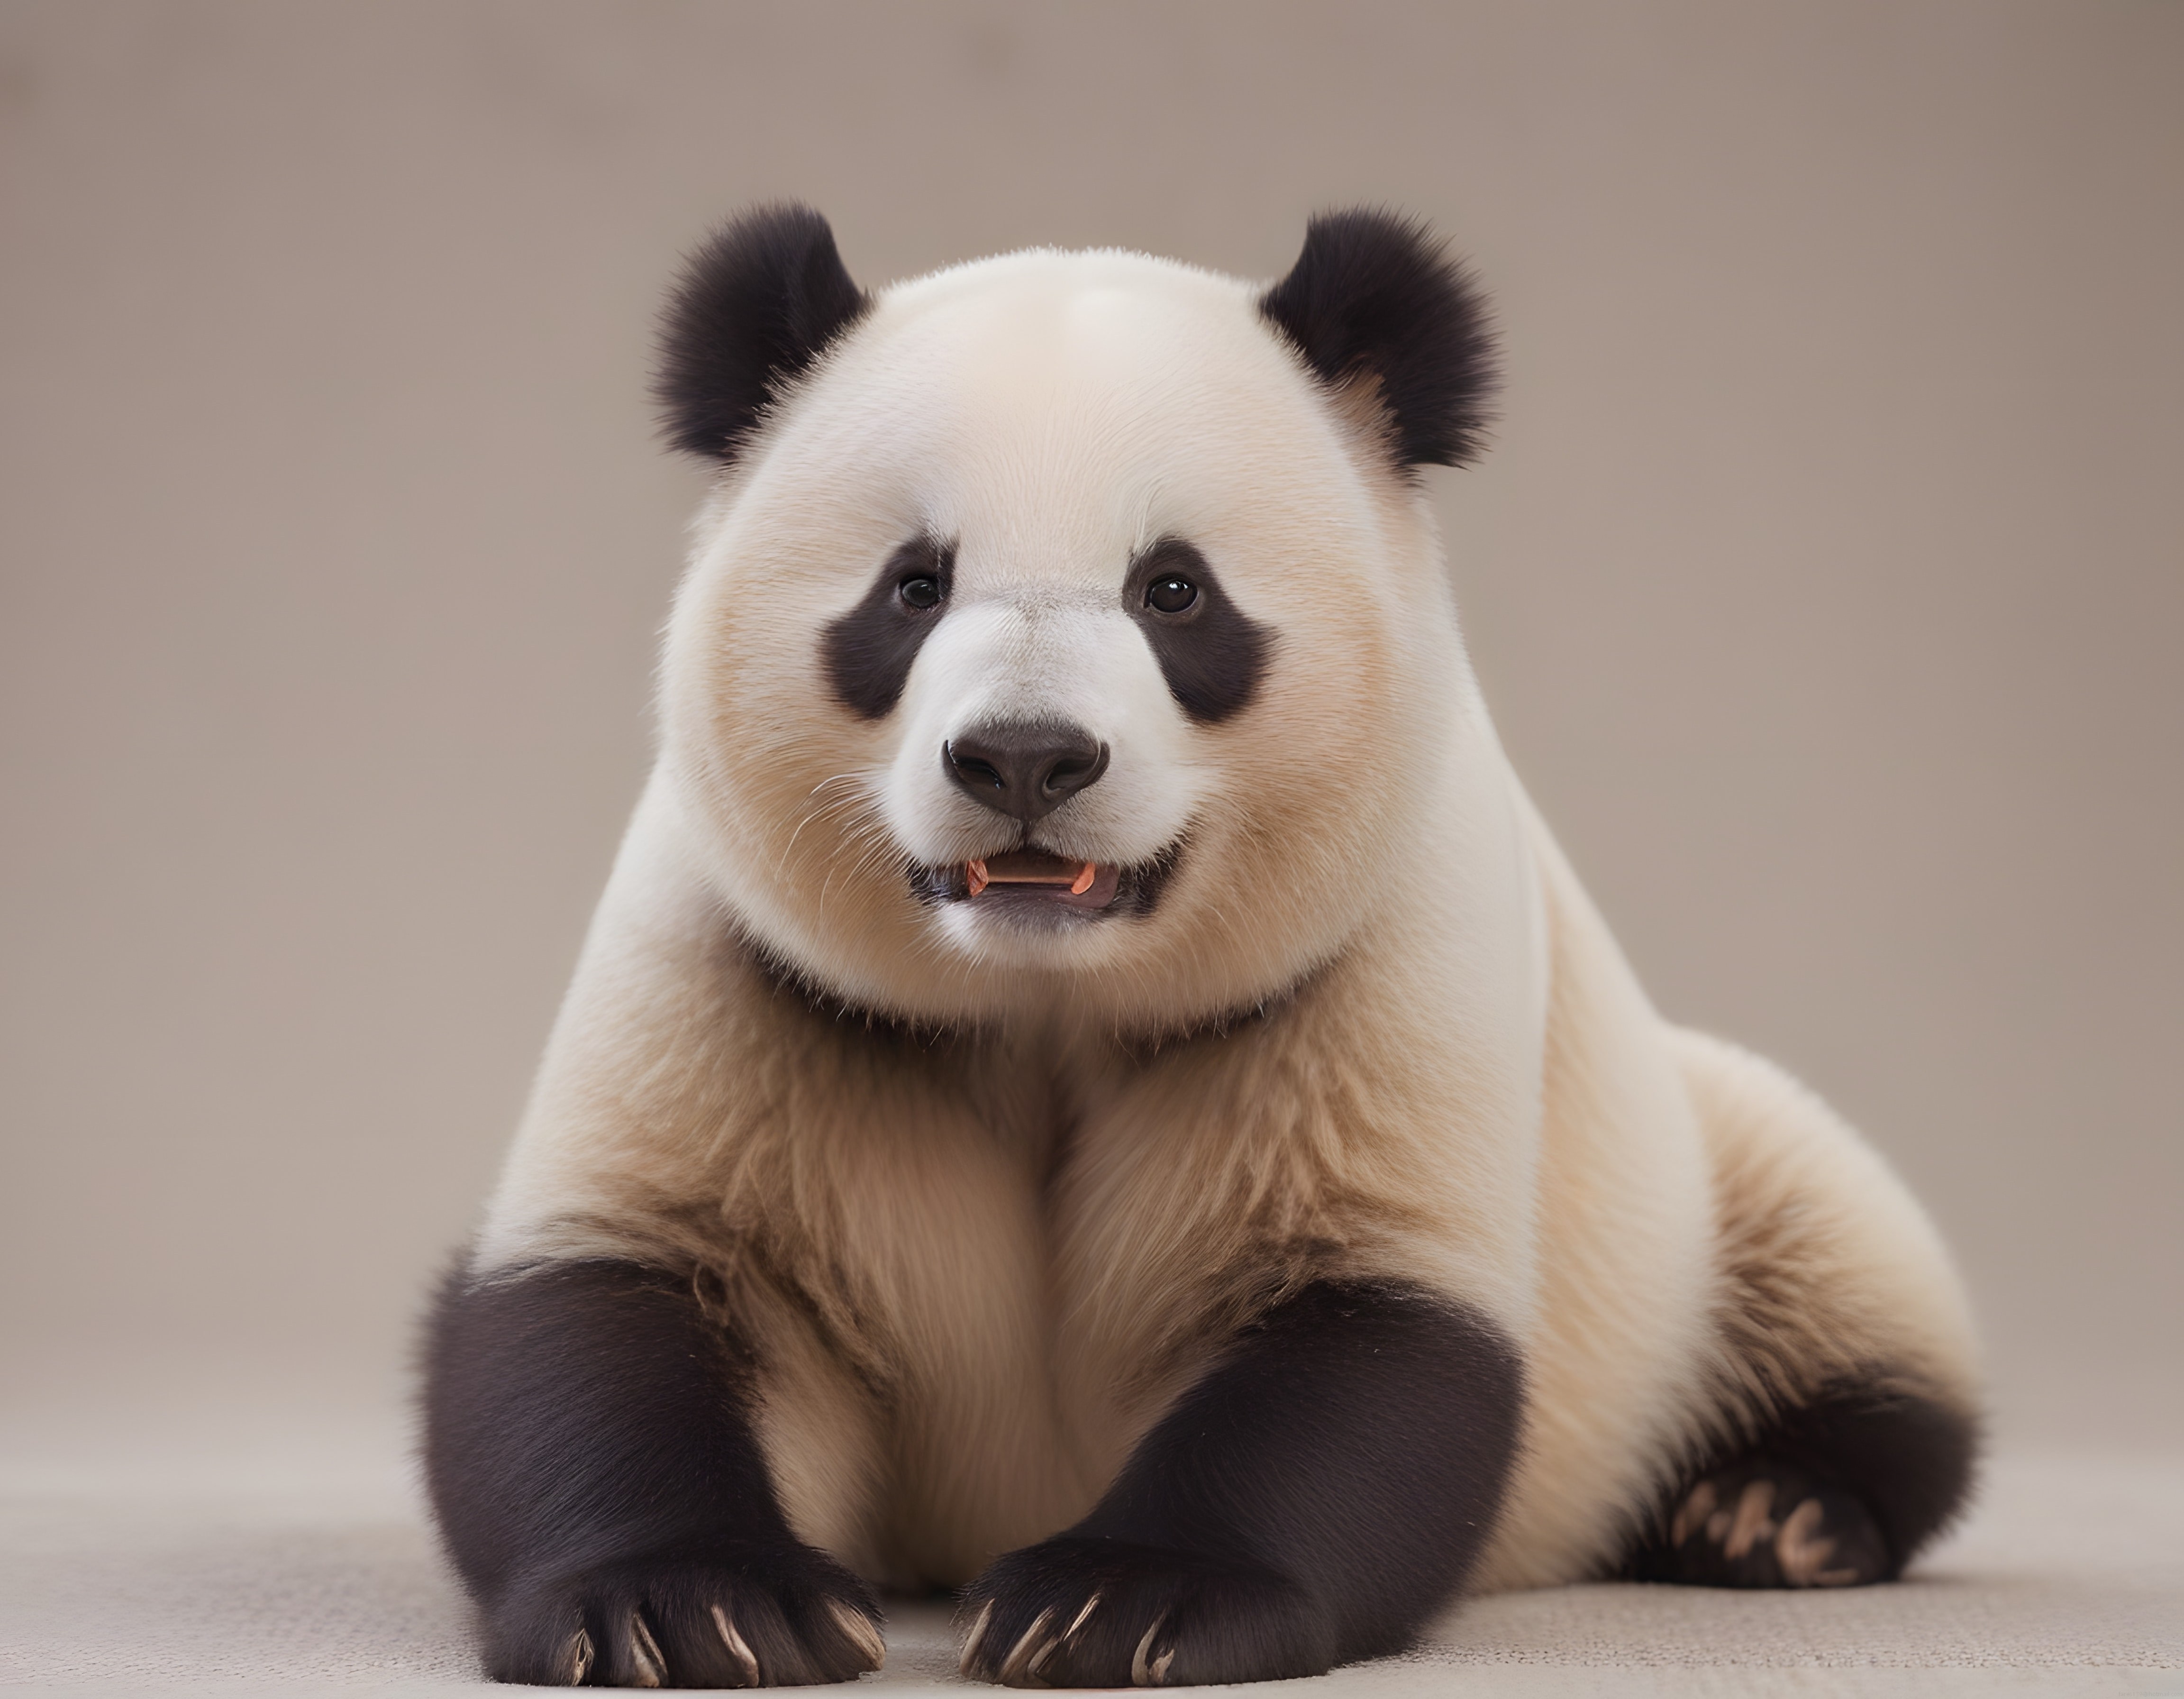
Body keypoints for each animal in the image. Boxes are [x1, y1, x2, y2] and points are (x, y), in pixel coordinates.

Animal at [422, 204, 1981, 1690]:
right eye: (912, 587)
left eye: (1174, 592)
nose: (1026, 758)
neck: (1039, 1002)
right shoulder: (742, 962)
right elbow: (606, 1294)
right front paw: (690, 1606)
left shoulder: (1373, 955)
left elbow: (1366, 1345)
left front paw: (1125, 1602)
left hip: (1708, 1188)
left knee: (1834, 1244)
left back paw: (1773, 1510)